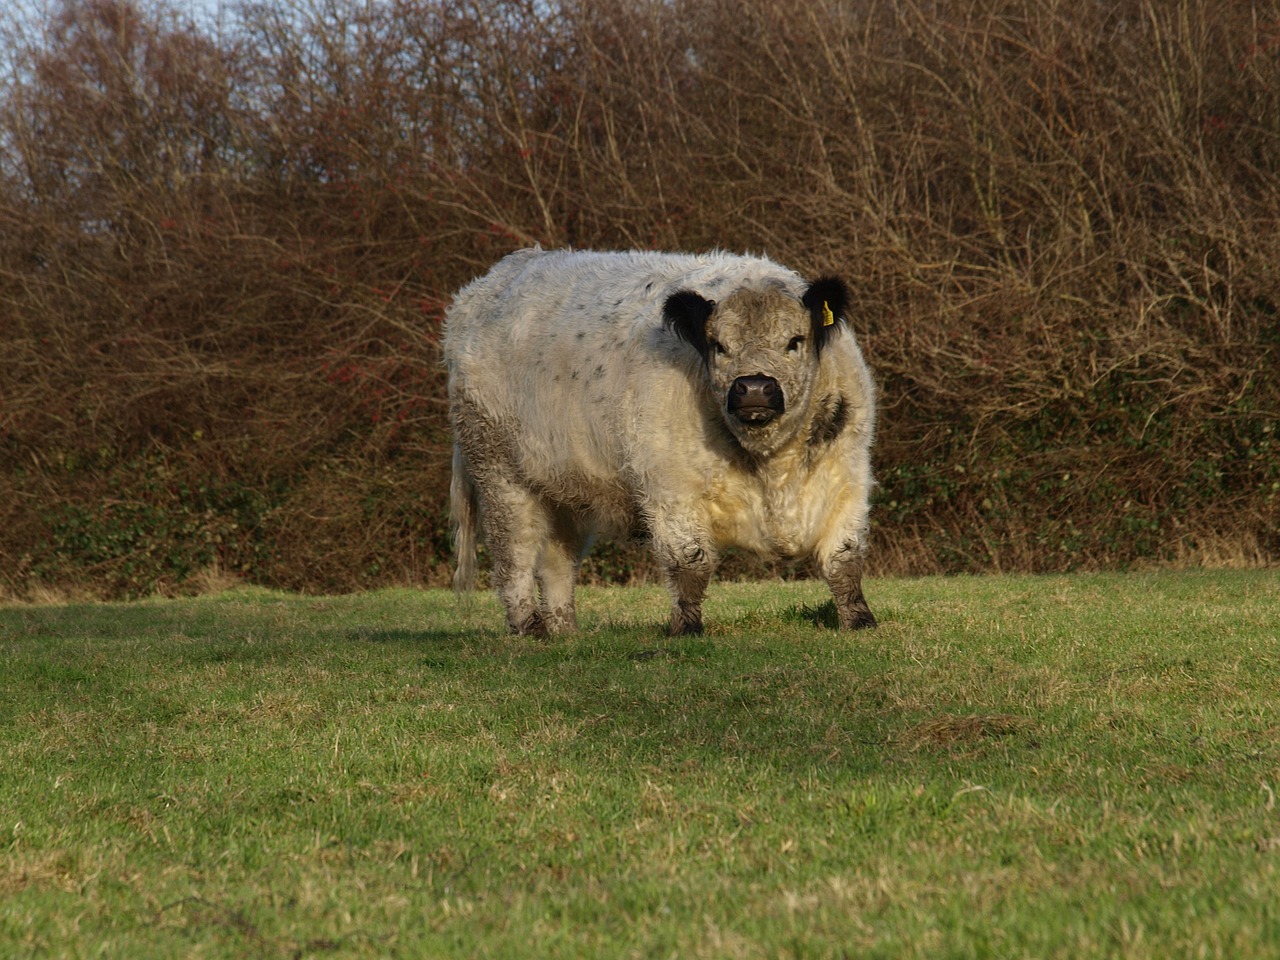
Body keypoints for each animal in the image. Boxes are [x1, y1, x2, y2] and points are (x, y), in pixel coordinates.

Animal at [445, 248, 875, 640]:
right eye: (719, 345)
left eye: (794, 341)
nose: (754, 387)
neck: (770, 466)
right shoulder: (670, 487)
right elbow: (690, 562)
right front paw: (686, 628)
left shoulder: (847, 475)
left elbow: (845, 557)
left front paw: (860, 621)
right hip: (498, 469)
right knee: (514, 552)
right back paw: (529, 628)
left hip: (564, 487)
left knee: (557, 560)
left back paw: (566, 631)